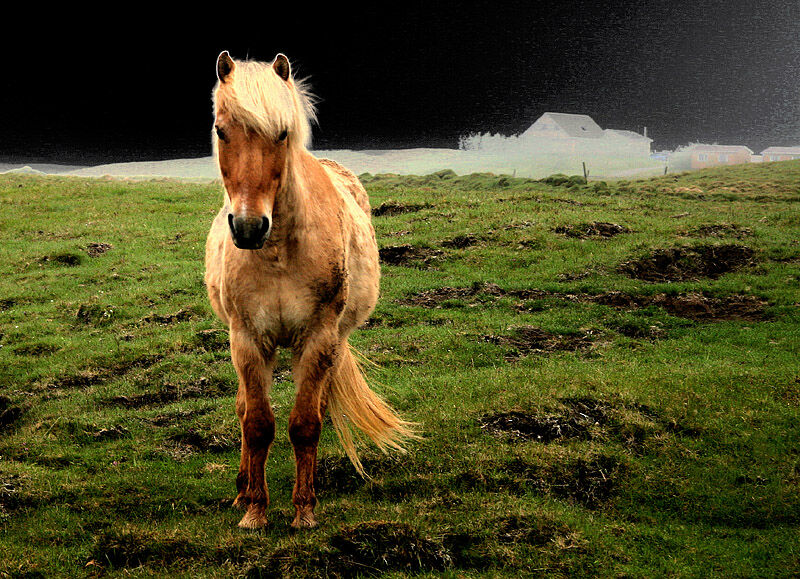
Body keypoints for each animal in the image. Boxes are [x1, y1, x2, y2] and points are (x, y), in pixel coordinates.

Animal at [204, 51, 416, 529]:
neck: (279, 251)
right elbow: (257, 423)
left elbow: (305, 423)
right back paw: (241, 491)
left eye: (282, 132)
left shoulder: (319, 338)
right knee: (244, 408)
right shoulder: (248, 339)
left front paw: (303, 510)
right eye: (221, 130)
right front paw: (256, 511)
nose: (249, 227)